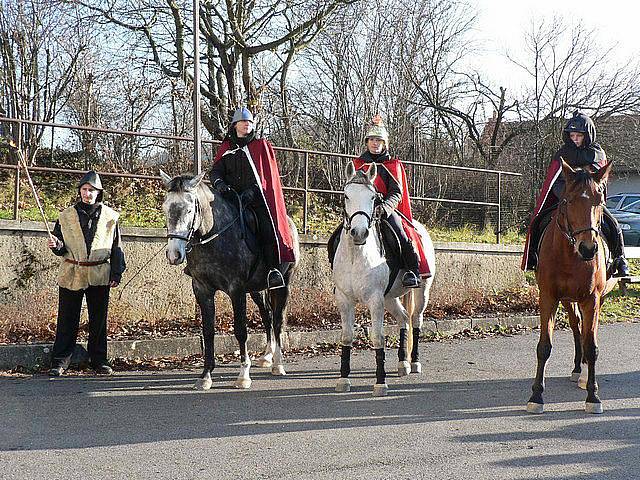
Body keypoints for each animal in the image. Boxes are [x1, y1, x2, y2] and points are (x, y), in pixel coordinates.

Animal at [160, 172, 300, 390]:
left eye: (190, 209)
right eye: (165, 207)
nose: (174, 255)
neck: (215, 236)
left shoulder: (236, 289)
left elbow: (241, 330)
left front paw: (243, 375)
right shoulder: (202, 290)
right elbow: (208, 331)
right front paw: (206, 376)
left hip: (283, 284)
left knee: (278, 320)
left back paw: (277, 364)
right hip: (258, 289)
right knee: (267, 316)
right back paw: (267, 356)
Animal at [336, 163, 436, 396]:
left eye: (374, 197)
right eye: (346, 195)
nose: (359, 232)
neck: (357, 256)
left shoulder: (375, 301)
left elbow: (378, 338)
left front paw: (380, 382)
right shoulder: (345, 299)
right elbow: (346, 336)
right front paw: (344, 380)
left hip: (422, 292)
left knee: (416, 320)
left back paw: (414, 362)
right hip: (390, 298)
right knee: (403, 319)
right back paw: (402, 363)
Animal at [528, 159, 616, 414]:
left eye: (600, 200)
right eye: (568, 200)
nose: (588, 248)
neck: (570, 256)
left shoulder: (592, 299)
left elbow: (592, 346)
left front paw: (593, 396)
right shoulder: (549, 297)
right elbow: (544, 346)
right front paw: (536, 396)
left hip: (595, 300)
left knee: (588, 333)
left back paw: (585, 375)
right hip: (568, 301)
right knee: (577, 327)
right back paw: (578, 368)